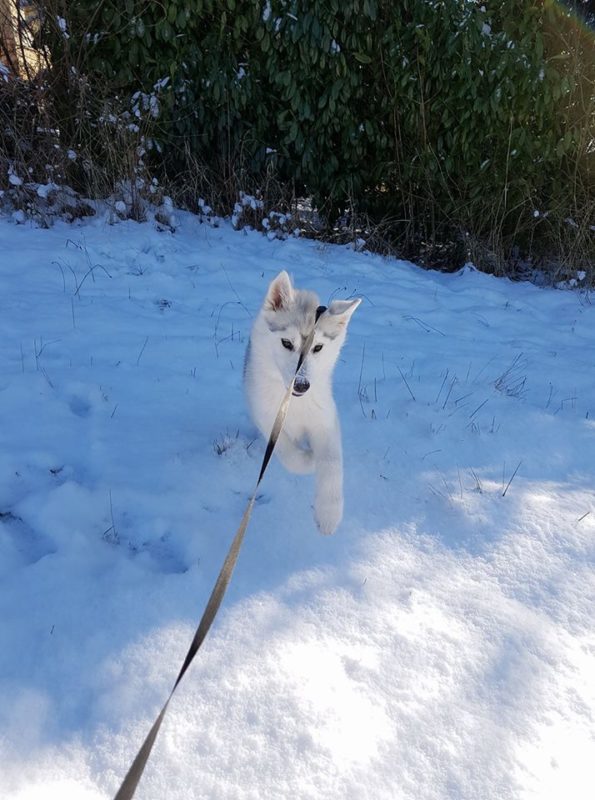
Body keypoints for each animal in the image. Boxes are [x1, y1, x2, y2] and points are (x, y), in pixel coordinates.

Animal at [244, 270, 360, 536]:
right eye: (287, 343)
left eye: (317, 347)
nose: (302, 385)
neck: (292, 404)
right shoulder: (267, 417)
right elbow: (289, 455)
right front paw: (309, 461)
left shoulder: (325, 419)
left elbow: (332, 463)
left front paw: (329, 514)